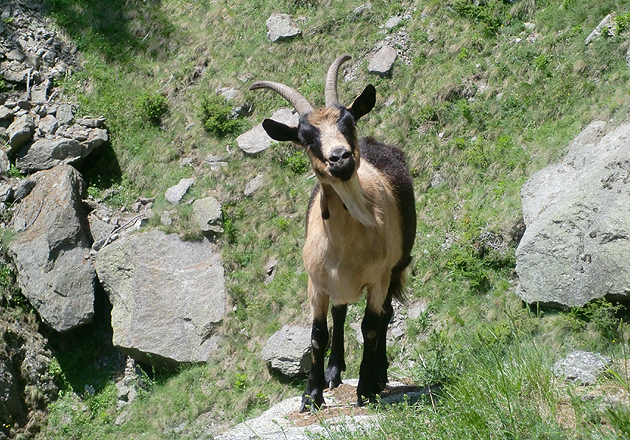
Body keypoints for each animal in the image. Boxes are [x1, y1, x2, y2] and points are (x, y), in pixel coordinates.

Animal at [249, 55, 418, 412]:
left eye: (349, 122)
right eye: (306, 137)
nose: (340, 157)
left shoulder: (379, 278)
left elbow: (370, 327)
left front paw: (366, 387)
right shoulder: (316, 283)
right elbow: (318, 335)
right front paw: (311, 395)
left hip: (396, 266)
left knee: (385, 316)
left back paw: (380, 373)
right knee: (340, 315)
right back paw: (333, 372)